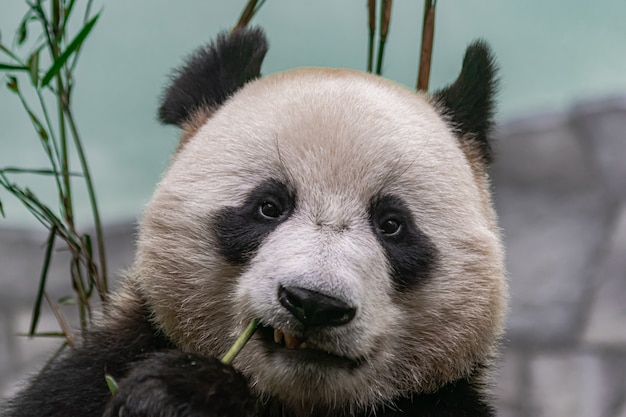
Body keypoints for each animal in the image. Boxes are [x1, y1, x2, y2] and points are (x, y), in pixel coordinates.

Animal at [2, 27, 504, 414]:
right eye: (268, 206)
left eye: (392, 224)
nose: (314, 303)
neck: (290, 401)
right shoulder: (96, 370)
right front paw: (175, 397)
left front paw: (180, 394)